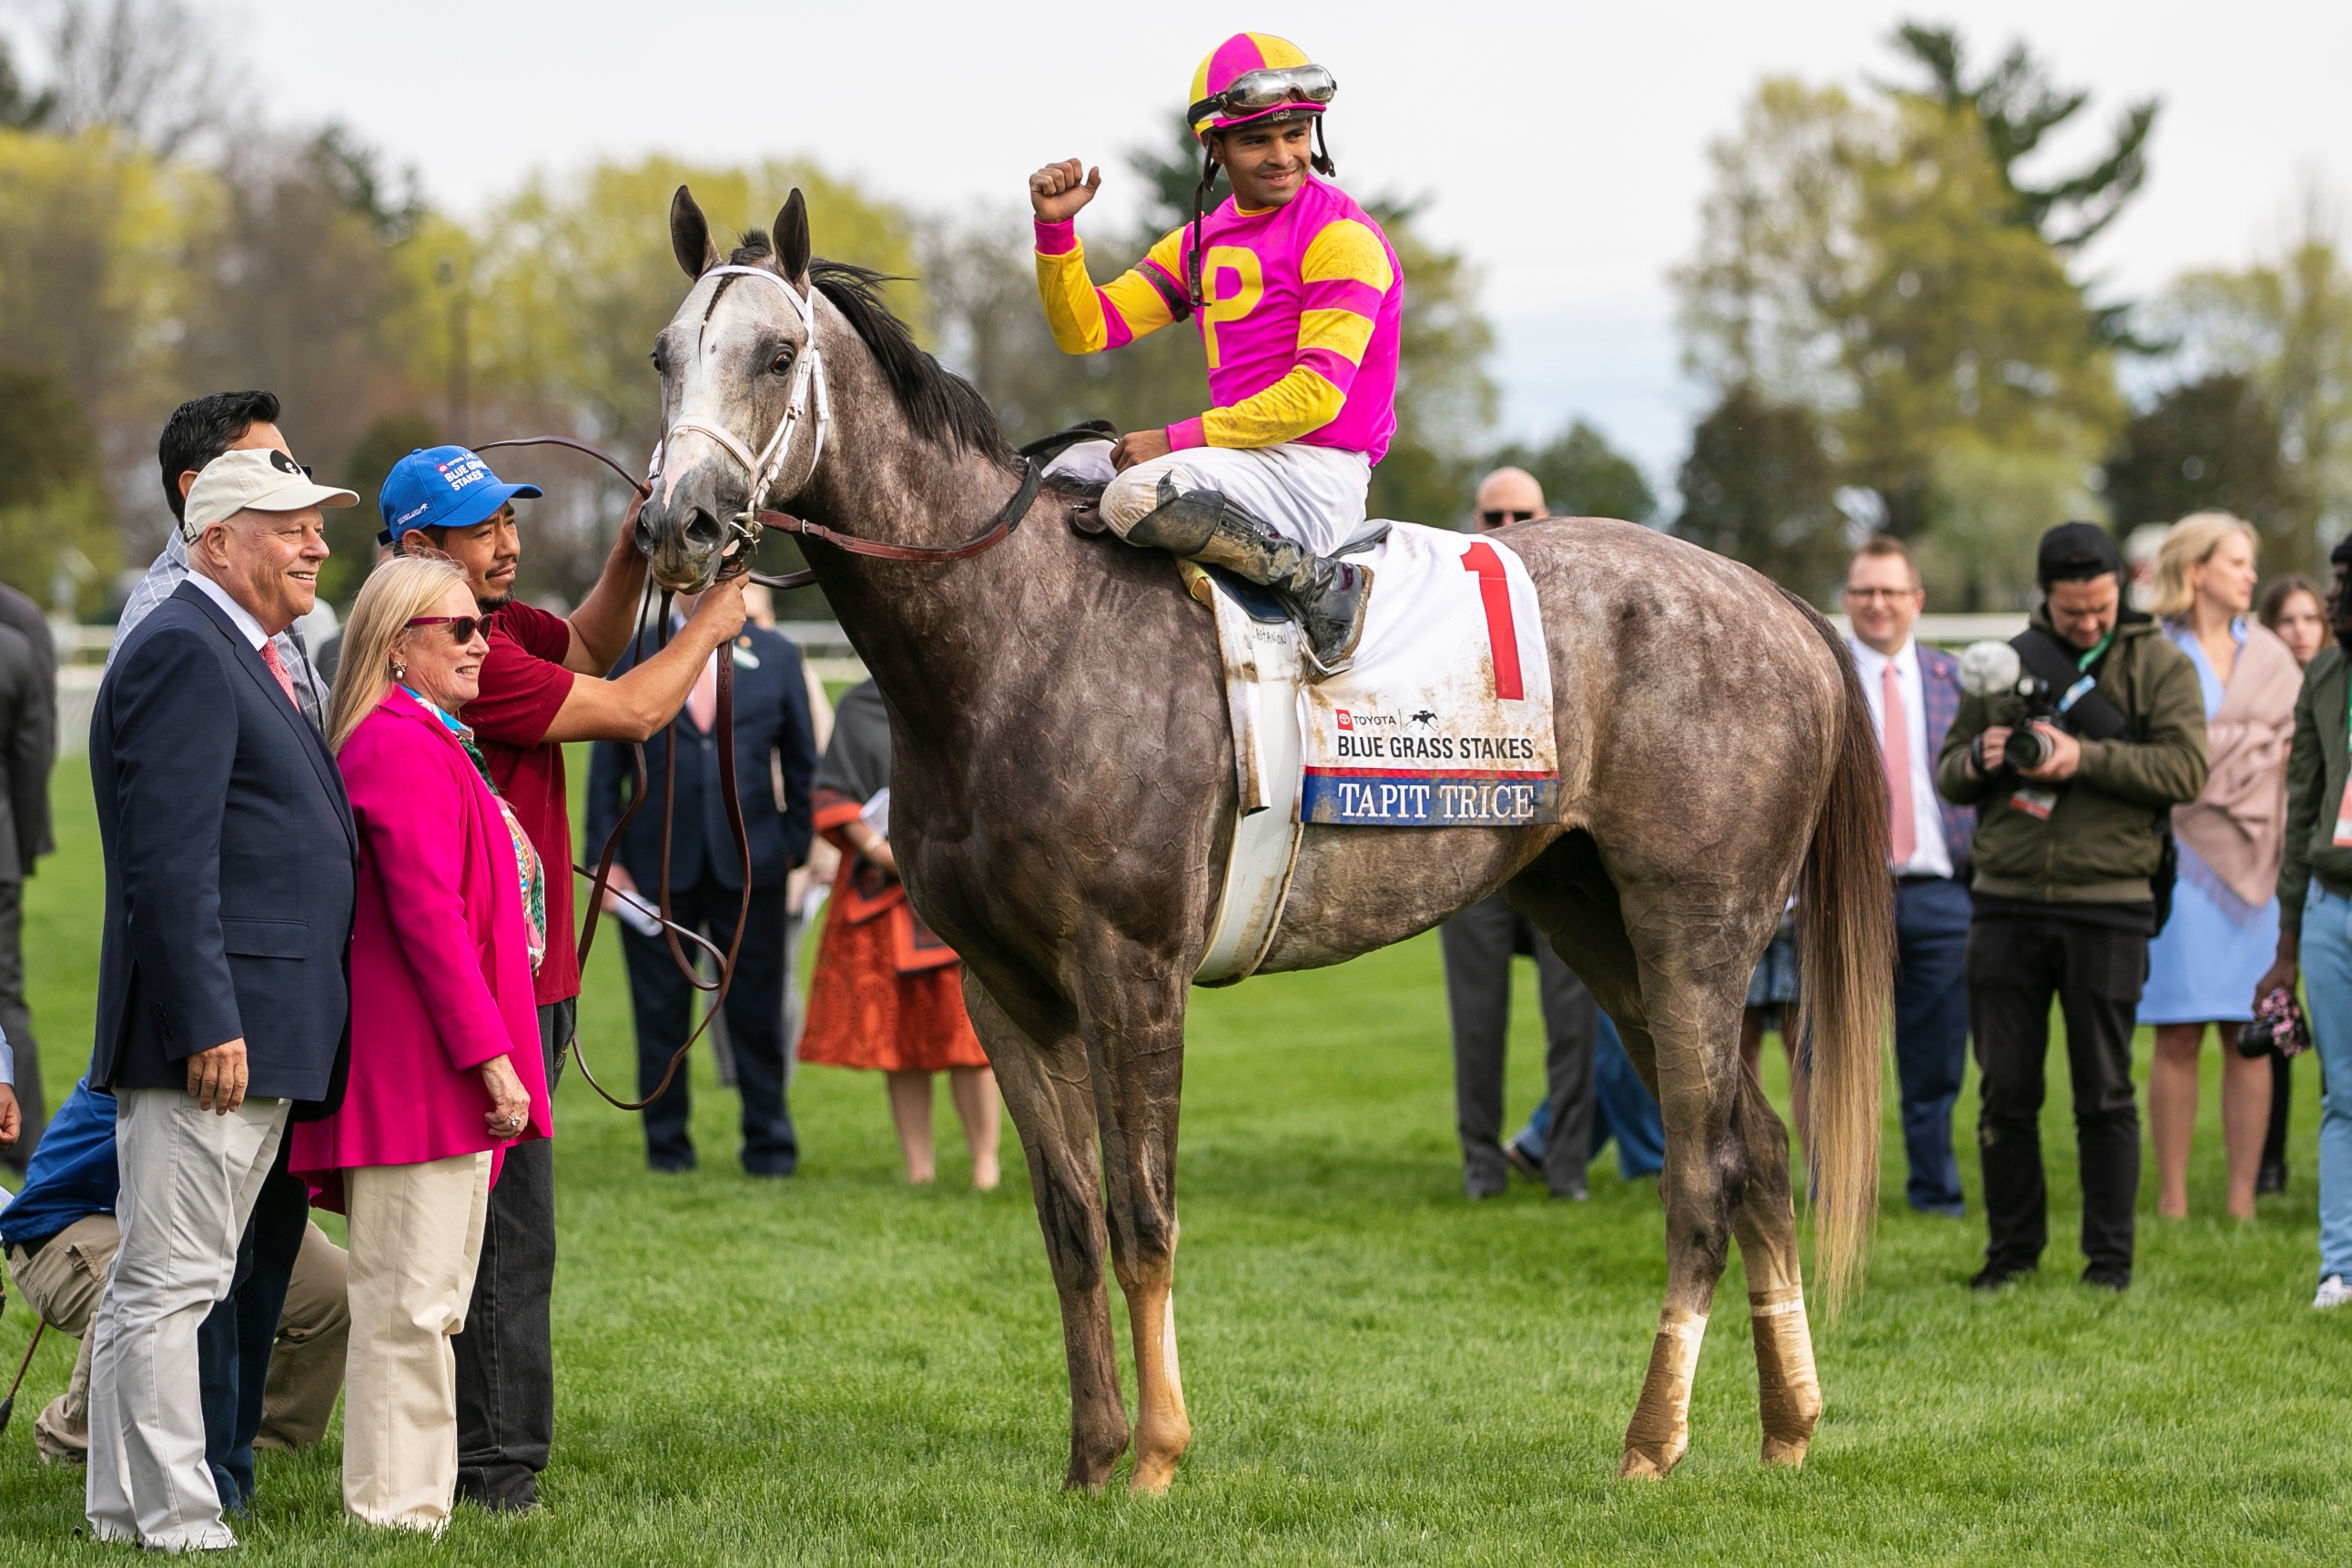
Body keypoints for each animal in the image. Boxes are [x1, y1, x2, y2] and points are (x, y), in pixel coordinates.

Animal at [639, 192, 1891, 1494]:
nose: (678, 524)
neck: (1011, 640)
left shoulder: (1131, 969)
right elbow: (1070, 1225)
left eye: (776, 353)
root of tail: (1776, 603)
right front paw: (1091, 1458)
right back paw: (1787, 1425)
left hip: (1695, 929)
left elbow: (1143, 1216)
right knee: (1759, 1148)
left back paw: (1654, 1439)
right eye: (665, 356)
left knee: (1704, 1172)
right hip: (1596, 919)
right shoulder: (1003, 989)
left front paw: (1155, 1456)